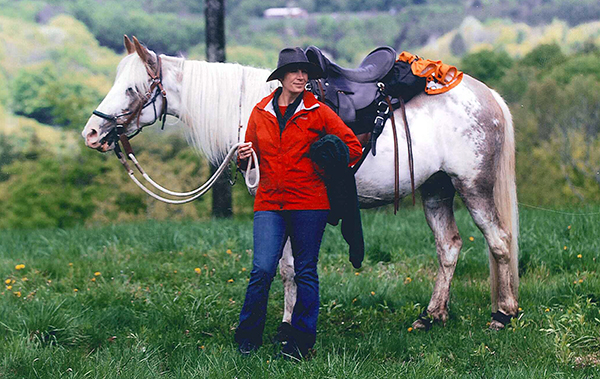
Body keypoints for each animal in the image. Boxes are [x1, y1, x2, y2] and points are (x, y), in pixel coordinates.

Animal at [82, 37, 516, 332]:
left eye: (131, 88)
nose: (92, 133)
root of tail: (487, 95)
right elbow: (288, 268)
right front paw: (290, 322)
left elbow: (290, 267)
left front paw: (289, 325)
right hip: (437, 188)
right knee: (449, 246)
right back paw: (432, 315)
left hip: (473, 186)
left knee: (498, 241)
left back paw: (503, 314)